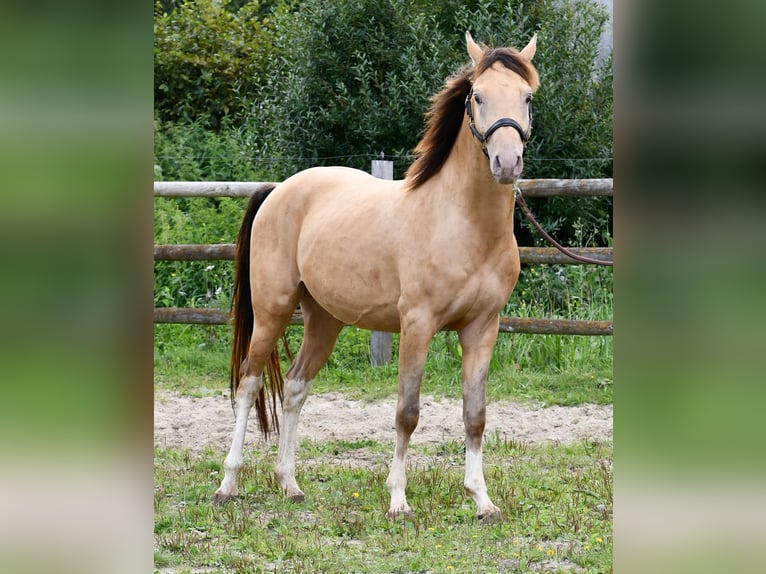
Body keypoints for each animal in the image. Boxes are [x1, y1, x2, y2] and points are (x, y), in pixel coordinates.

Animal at [213, 32, 544, 520]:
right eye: (478, 96)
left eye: (527, 97)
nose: (507, 162)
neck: (462, 223)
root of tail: (279, 190)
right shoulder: (417, 325)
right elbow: (407, 413)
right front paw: (398, 500)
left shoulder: (483, 328)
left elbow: (475, 415)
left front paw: (482, 500)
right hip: (273, 311)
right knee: (249, 383)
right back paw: (228, 484)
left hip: (324, 320)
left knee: (295, 387)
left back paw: (290, 484)